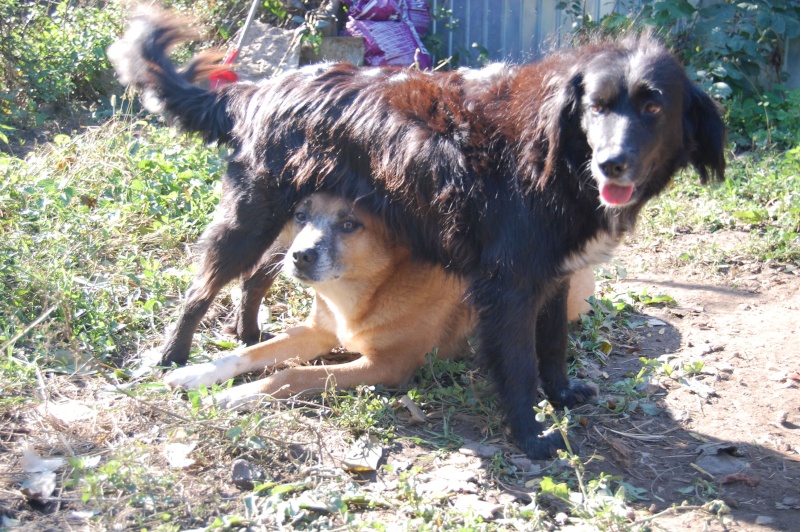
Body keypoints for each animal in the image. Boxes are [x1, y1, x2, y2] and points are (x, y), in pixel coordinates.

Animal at [162, 193, 592, 406]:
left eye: (351, 224)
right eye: (300, 215)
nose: (298, 256)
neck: (371, 289)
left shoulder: (388, 365)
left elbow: (291, 375)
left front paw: (233, 396)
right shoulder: (317, 331)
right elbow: (248, 354)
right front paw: (195, 373)